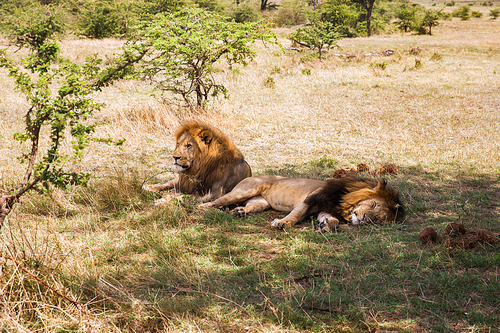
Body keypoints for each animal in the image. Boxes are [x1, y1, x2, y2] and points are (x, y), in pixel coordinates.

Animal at [200, 175, 406, 232]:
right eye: (373, 205)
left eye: (377, 220)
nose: (363, 219)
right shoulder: (312, 200)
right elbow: (296, 215)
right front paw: (282, 223)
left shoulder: (325, 209)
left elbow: (333, 221)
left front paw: (325, 226)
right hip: (246, 190)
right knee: (217, 201)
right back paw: (201, 208)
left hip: (261, 202)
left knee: (249, 206)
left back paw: (240, 212)